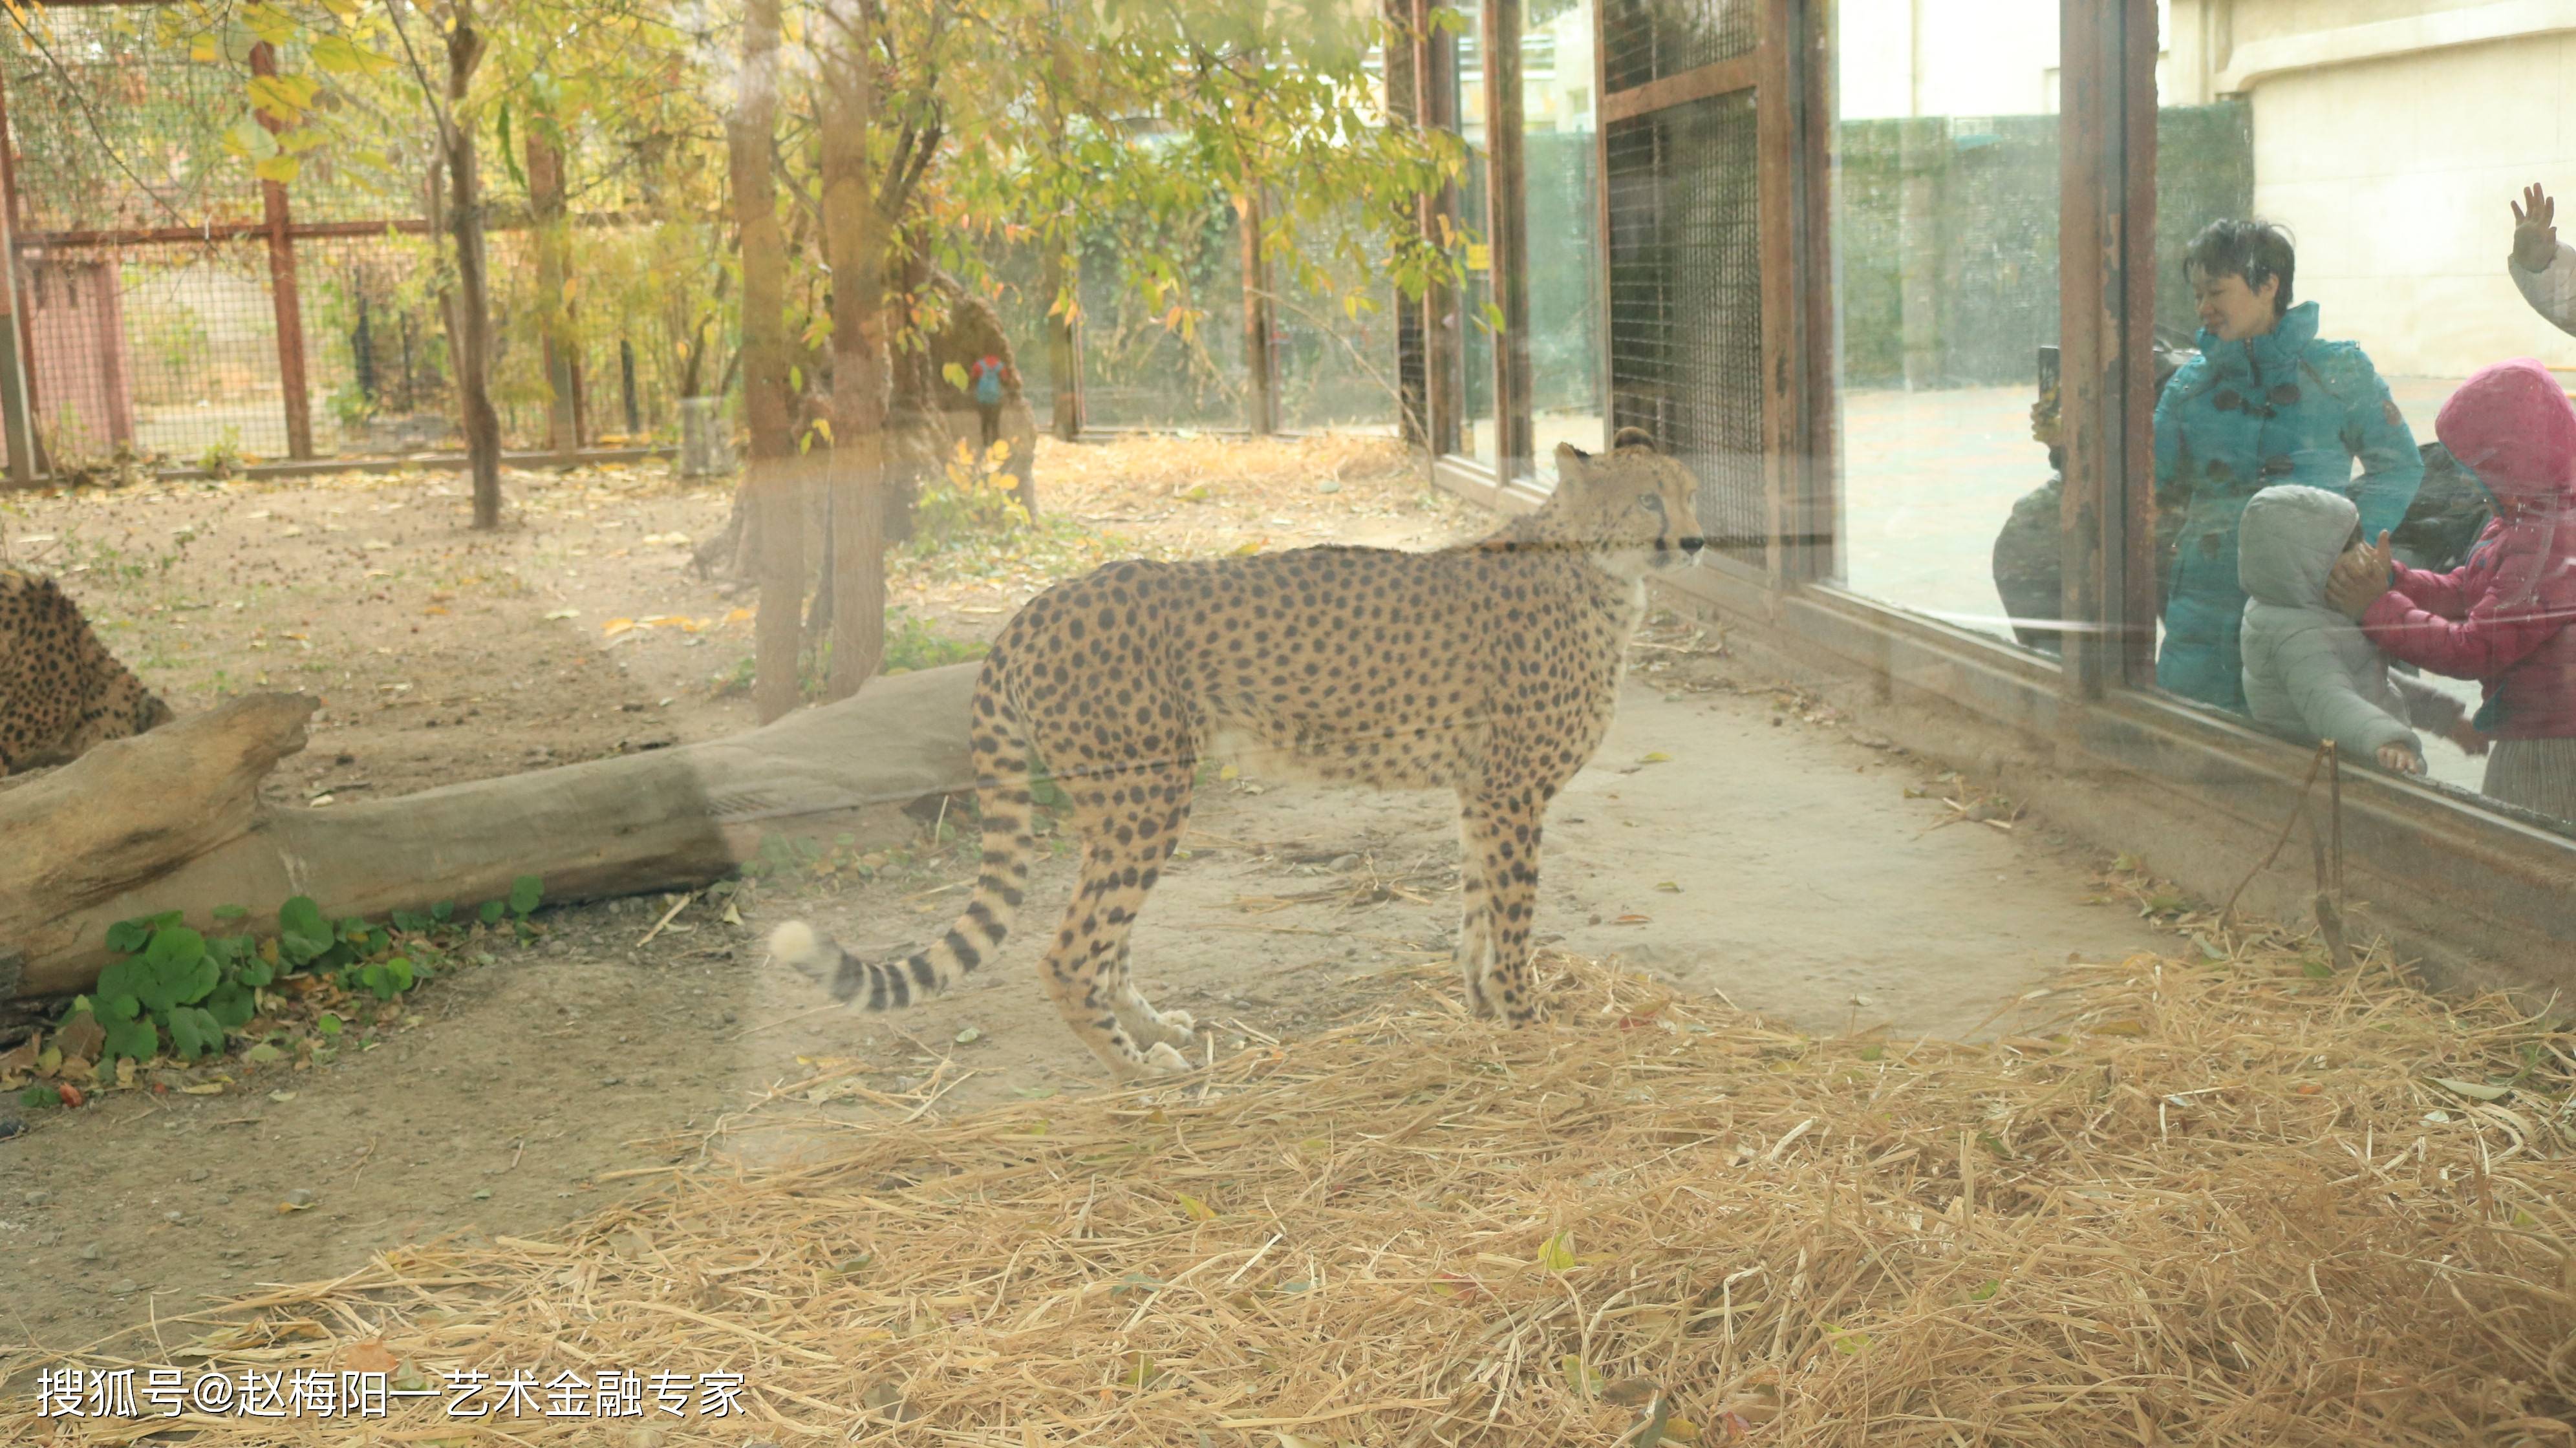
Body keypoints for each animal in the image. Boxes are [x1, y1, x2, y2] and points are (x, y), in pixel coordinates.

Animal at [773, 427, 1700, 1072]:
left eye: (1688, 493)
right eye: (1648, 500)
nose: (1693, 541)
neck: (1595, 569)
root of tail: (1040, 603)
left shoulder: (1481, 792)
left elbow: (1476, 913)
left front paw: (1483, 1012)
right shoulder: (1511, 791)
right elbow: (1510, 919)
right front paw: (1530, 1019)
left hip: (1118, 800)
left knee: (1105, 940)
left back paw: (1154, 1027)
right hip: (1148, 794)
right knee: (1068, 949)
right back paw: (1137, 1069)